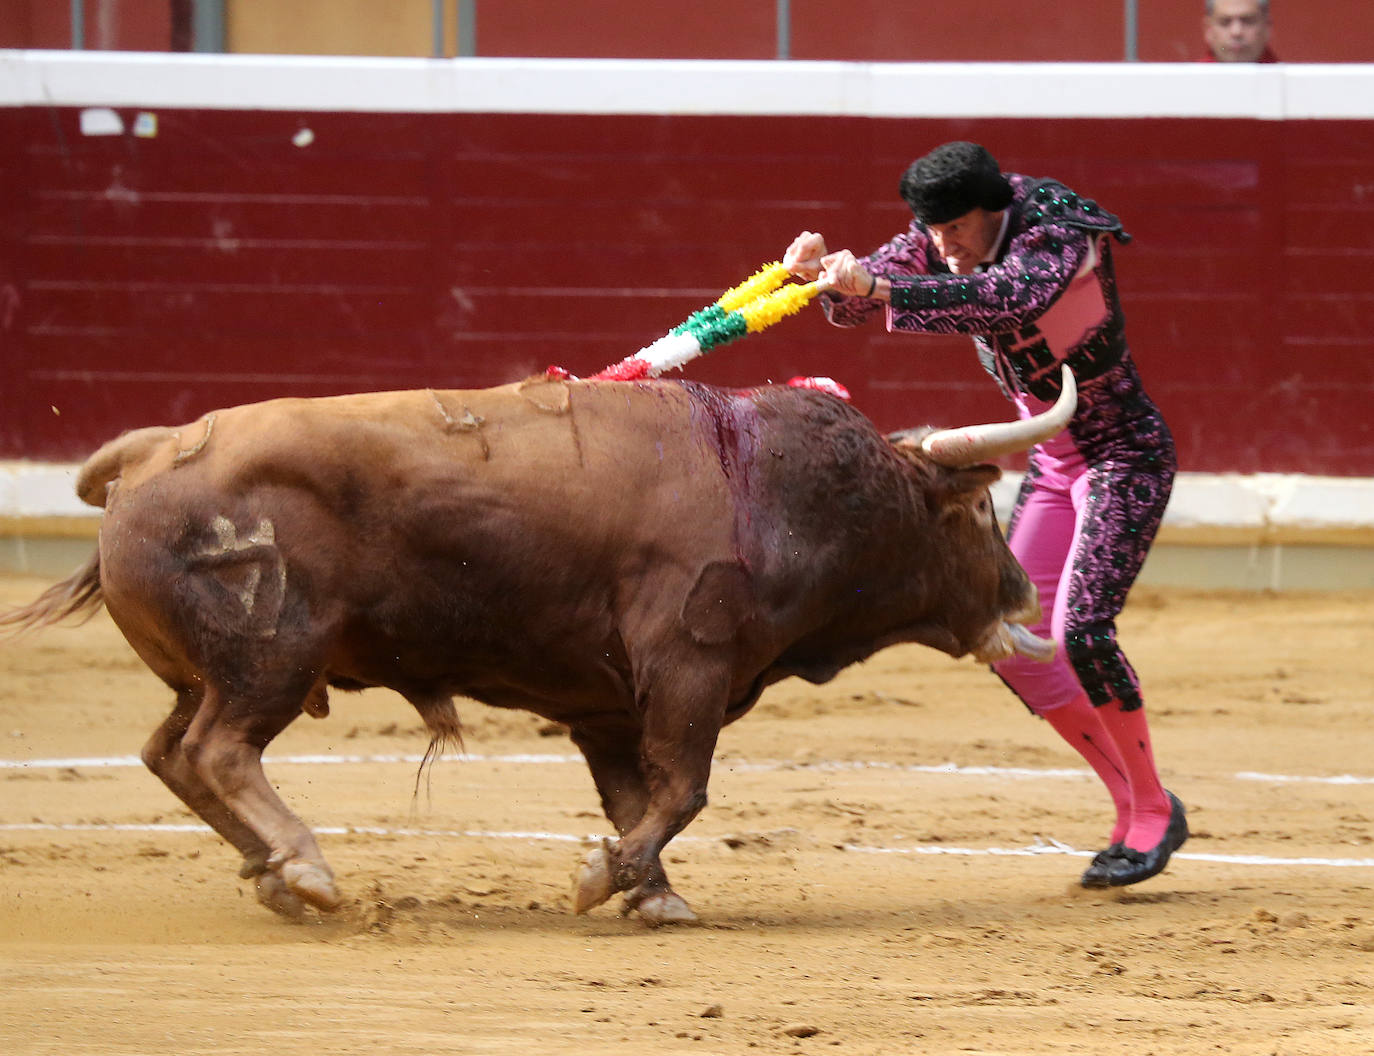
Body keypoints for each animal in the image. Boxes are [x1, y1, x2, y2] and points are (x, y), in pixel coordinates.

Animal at [2, 368, 1071, 922]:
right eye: (980, 512)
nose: (1026, 589)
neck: (781, 488)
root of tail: (149, 451)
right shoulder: (688, 665)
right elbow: (684, 789)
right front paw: (606, 880)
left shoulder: (609, 706)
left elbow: (641, 797)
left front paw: (652, 895)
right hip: (270, 659)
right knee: (218, 751)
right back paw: (305, 870)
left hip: (212, 670)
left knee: (168, 752)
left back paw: (268, 872)